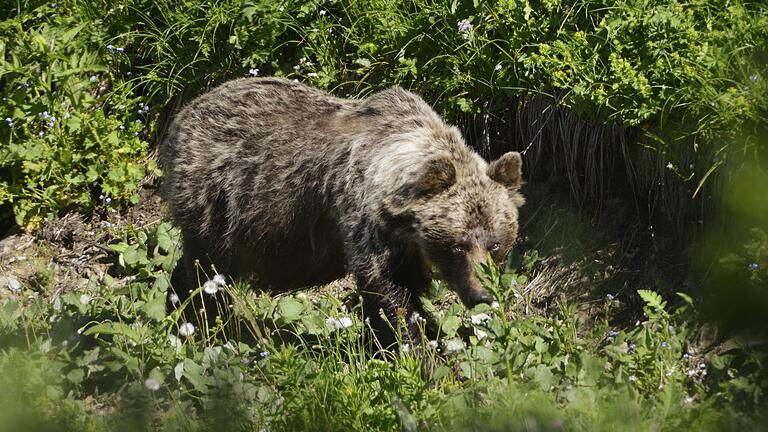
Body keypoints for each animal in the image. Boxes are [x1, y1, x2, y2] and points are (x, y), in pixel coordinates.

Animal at [159, 77, 524, 348]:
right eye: (458, 244)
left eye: (495, 243)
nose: (482, 294)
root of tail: (183, 113)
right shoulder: (365, 219)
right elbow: (389, 292)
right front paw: (417, 349)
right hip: (218, 200)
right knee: (206, 270)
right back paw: (196, 322)